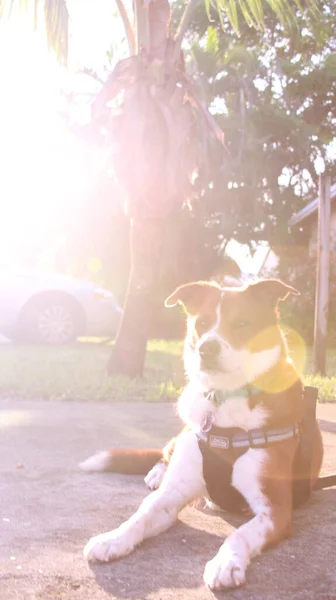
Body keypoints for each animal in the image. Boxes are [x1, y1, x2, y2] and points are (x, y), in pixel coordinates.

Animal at [80, 280, 322, 592]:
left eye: (241, 323)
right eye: (202, 324)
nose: (207, 348)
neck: (225, 399)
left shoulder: (275, 511)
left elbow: (240, 533)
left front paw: (225, 562)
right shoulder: (171, 495)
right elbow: (141, 514)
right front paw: (113, 538)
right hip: (182, 433)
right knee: (163, 454)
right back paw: (156, 473)